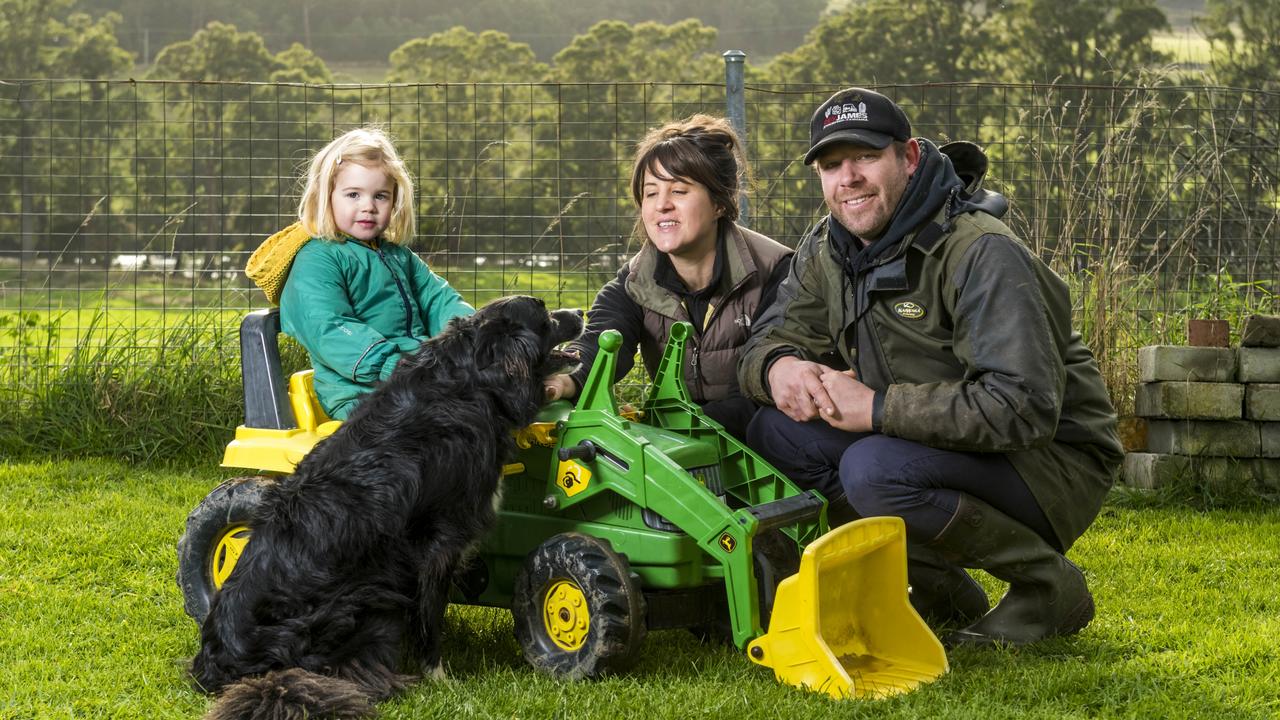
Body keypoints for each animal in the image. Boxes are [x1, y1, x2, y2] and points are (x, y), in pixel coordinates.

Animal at [188, 294, 581, 712]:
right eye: (544, 314)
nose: (580, 313)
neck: (471, 379)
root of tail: (225, 663)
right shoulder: (440, 542)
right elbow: (430, 616)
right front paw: (440, 678)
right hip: (365, 597)